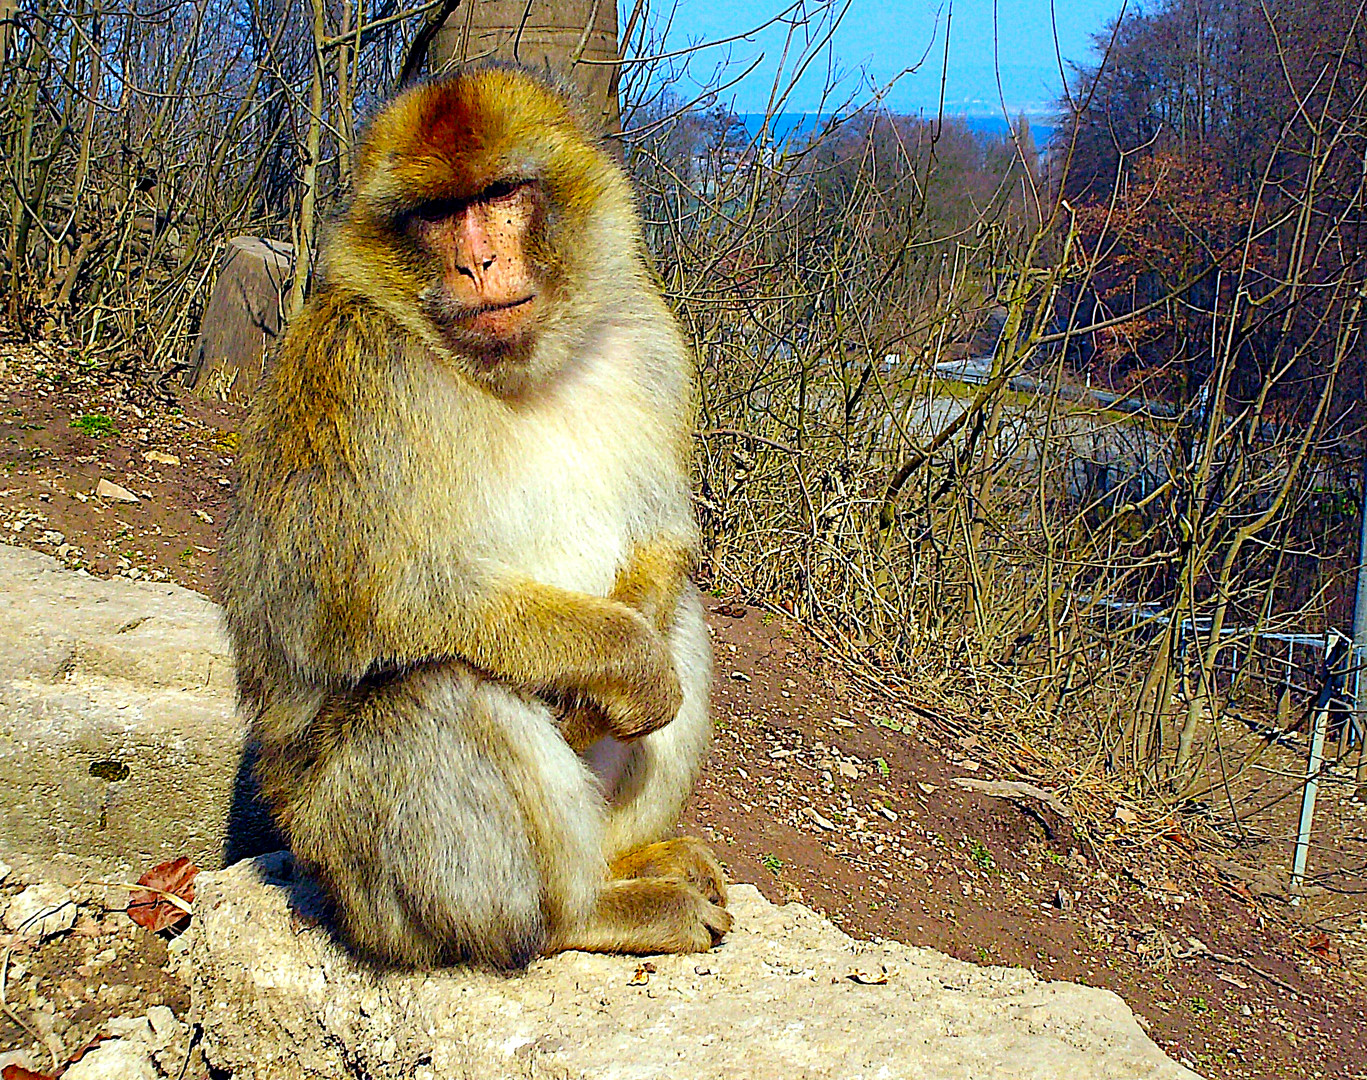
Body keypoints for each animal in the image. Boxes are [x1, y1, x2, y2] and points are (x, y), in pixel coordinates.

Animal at [221, 67, 738, 973]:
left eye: (498, 196)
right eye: (436, 215)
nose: (476, 260)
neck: (520, 367)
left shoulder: (647, 333)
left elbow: (662, 536)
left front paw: (606, 693)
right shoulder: (359, 374)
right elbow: (364, 602)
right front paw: (625, 661)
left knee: (681, 613)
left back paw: (632, 860)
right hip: (359, 880)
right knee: (433, 689)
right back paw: (589, 913)